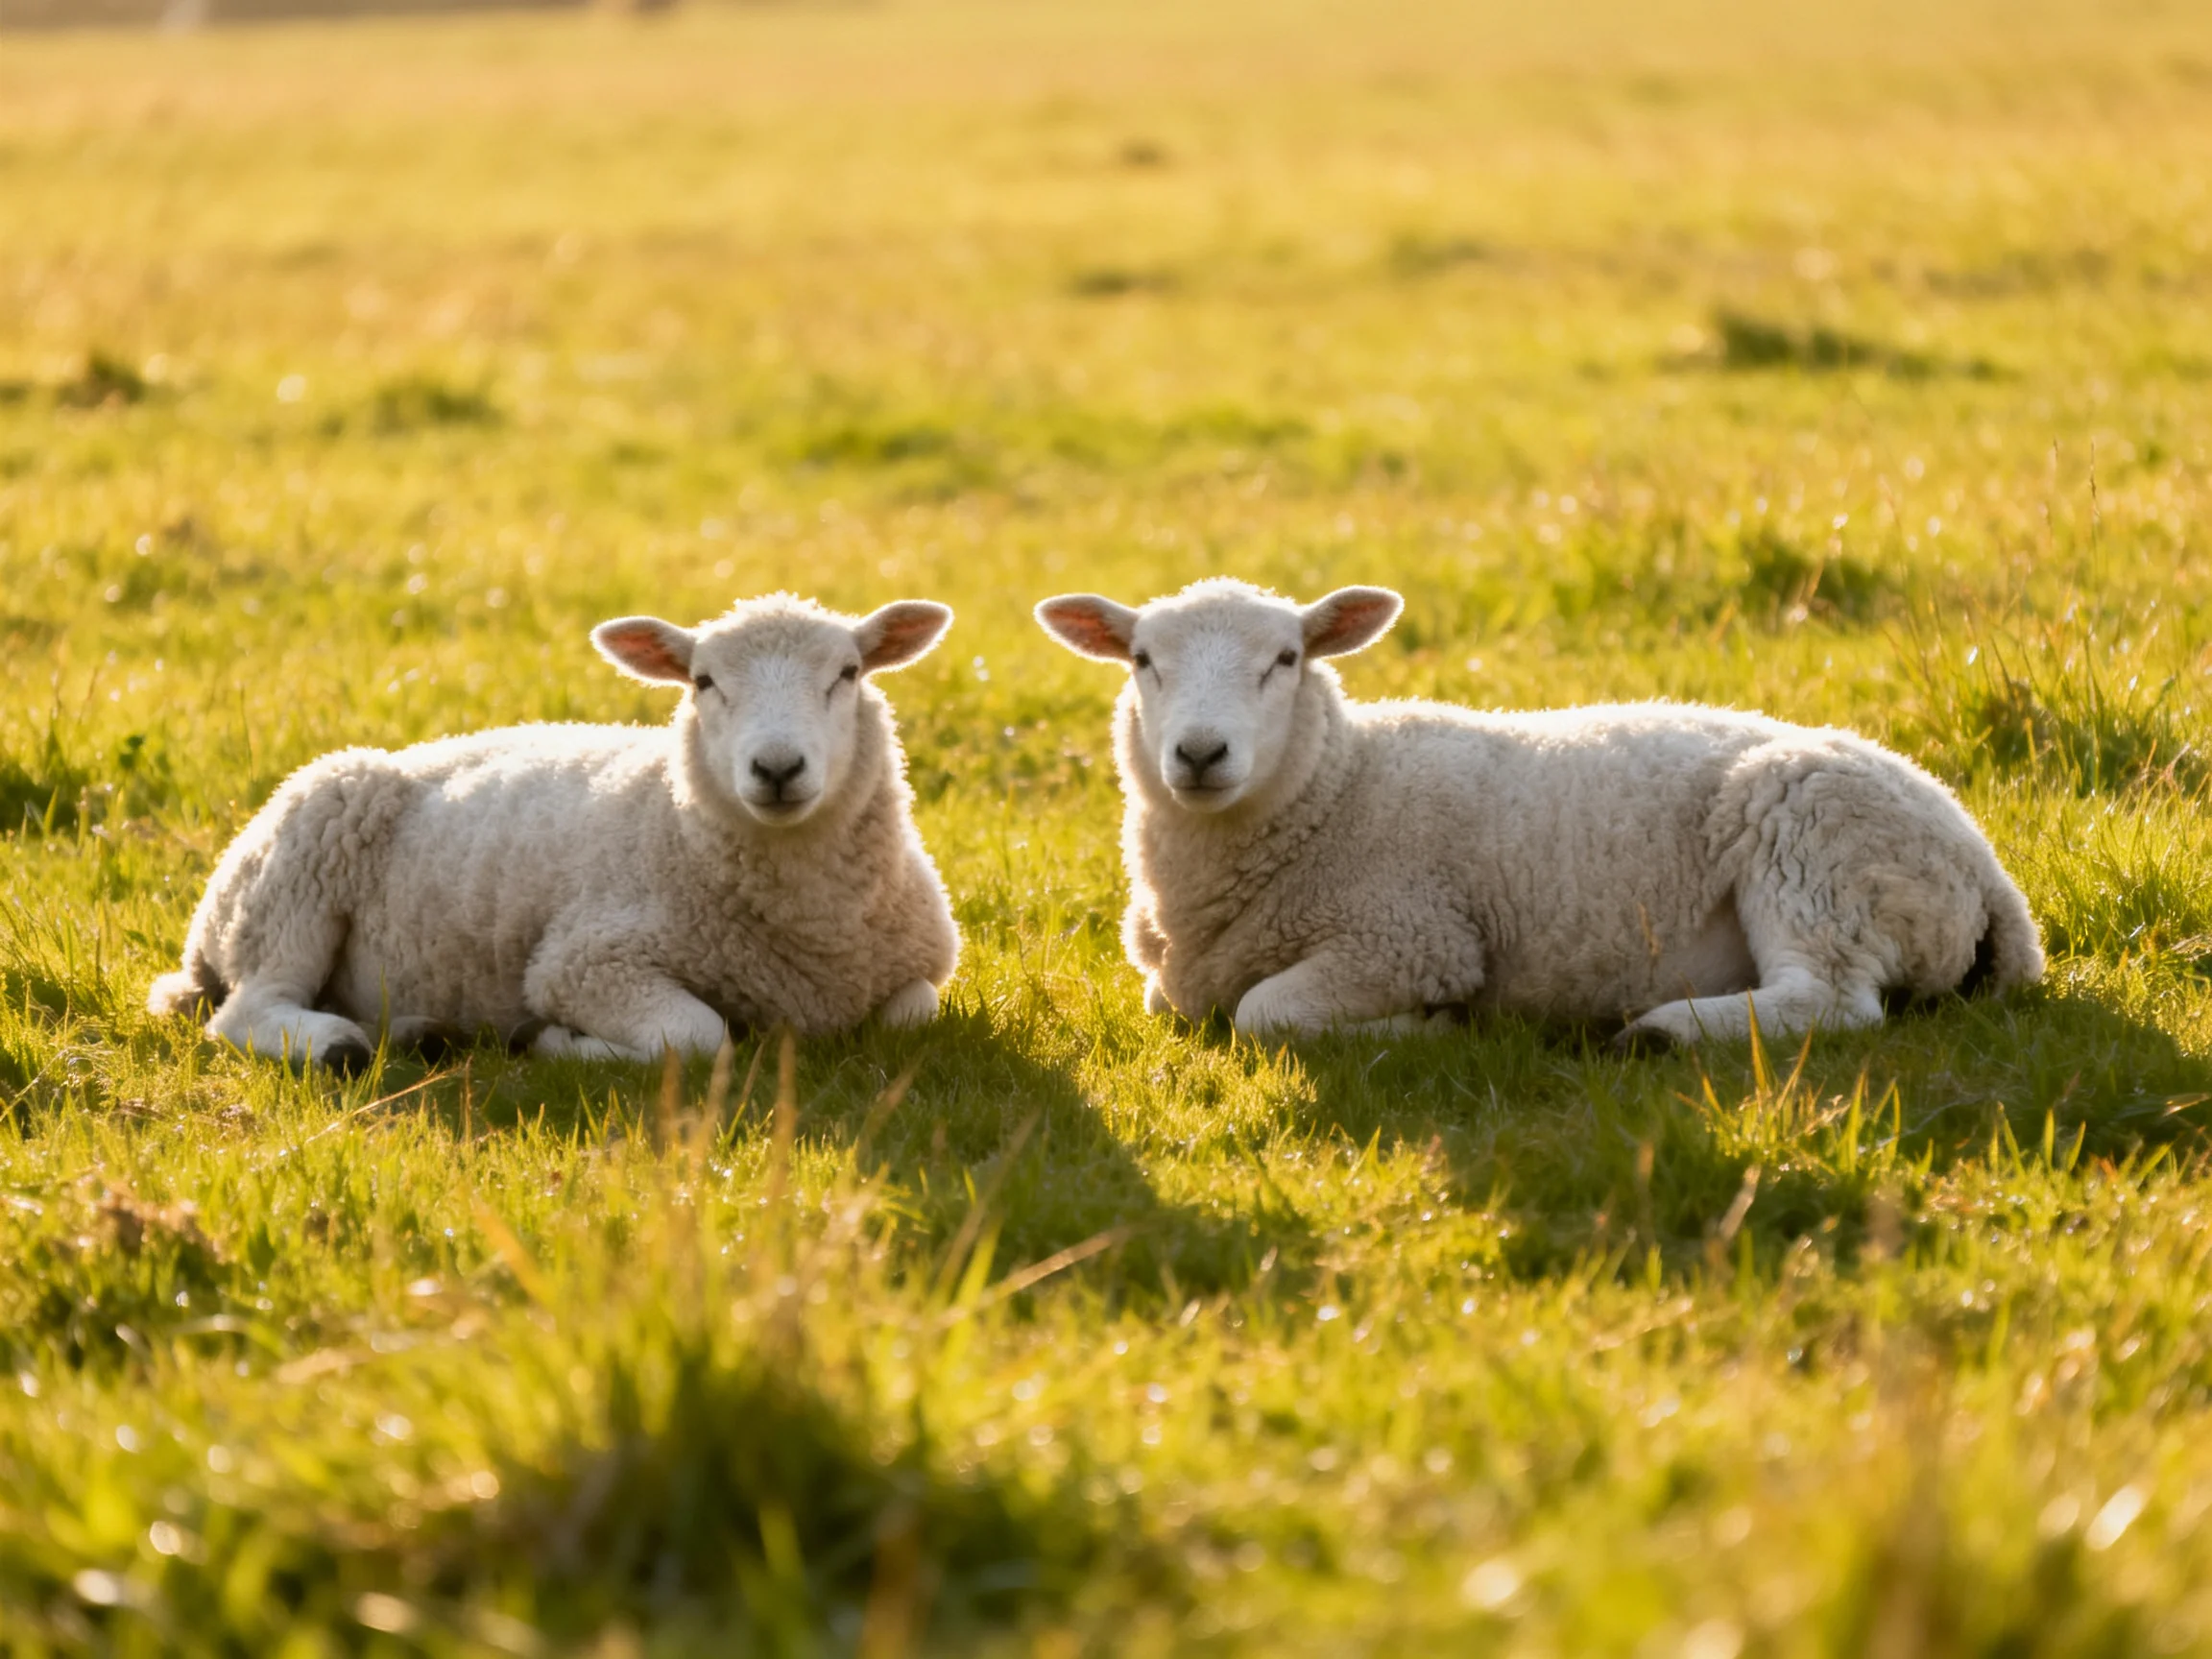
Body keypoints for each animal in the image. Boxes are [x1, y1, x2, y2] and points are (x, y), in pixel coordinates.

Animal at [147, 593, 961, 1069]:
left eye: (848, 673)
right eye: (703, 683)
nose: (778, 767)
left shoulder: (918, 969)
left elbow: (911, 1015)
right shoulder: (586, 960)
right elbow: (696, 1040)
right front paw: (556, 1042)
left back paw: (419, 1033)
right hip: (299, 868)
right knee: (247, 1010)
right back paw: (335, 1044)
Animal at [1035, 578, 2042, 1045]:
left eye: (1285, 659)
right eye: (1142, 661)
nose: (1200, 754)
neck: (1339, 789)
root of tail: (1990, 875)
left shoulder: (1410, 936)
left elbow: (1261, 1014)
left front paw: (1430, 1029)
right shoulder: (1174, 981)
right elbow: (1174, 1003)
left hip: (1816, 849)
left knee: (1832, 1000)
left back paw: (1660, 1035)